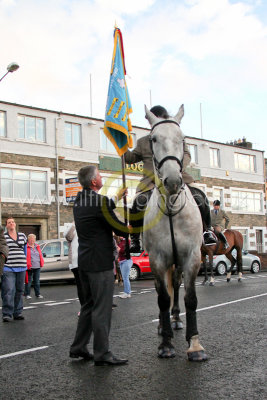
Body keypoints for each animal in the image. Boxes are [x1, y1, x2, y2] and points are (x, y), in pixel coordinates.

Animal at [143, 104, 208, 360]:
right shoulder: (158, 259)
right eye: (153, 139)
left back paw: (177, 319)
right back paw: (164, 326)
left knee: (177, 286)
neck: (171, 207)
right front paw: (166, 344)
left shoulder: (192, 256)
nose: (172, 181)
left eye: (183, 139)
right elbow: (162, 298)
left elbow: (191, 298)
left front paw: (195, 344)